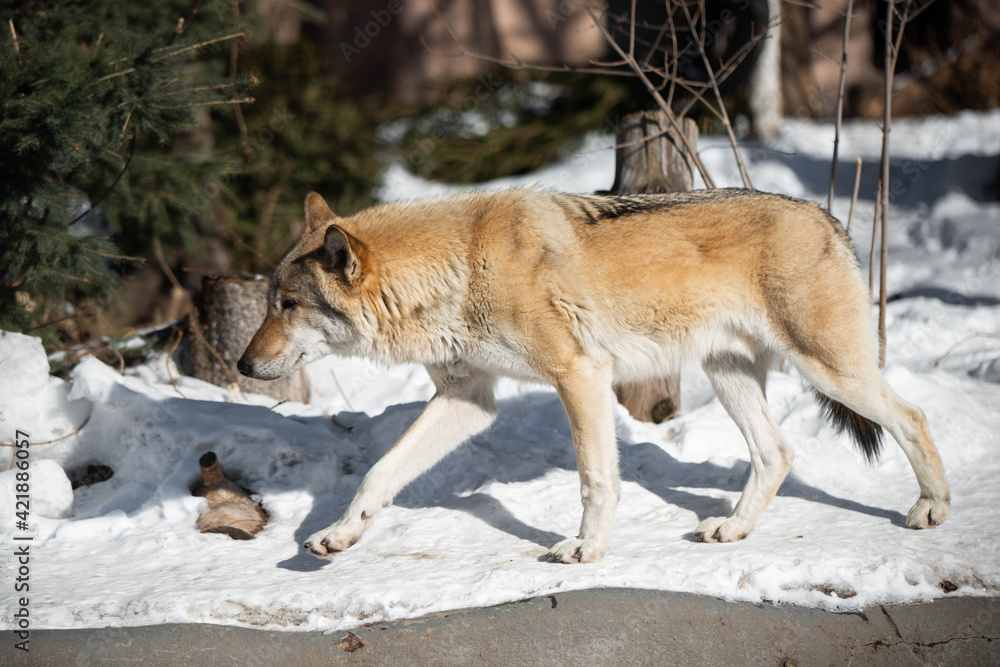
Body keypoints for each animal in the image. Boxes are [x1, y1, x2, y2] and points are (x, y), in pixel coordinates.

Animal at [238, 188, 949, 563]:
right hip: (729, 375)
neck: (460, 269)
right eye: (269, 301)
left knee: (913, 415)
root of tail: (828, 216)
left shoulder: (580, 376)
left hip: (830, 371)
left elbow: (596, 480)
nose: (243, 365)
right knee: (778, 453)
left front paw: (585, 551)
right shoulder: (468, 398)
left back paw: (931, 509)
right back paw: (733, 528)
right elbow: (381, 473)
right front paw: (339, 534)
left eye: (288, 305)